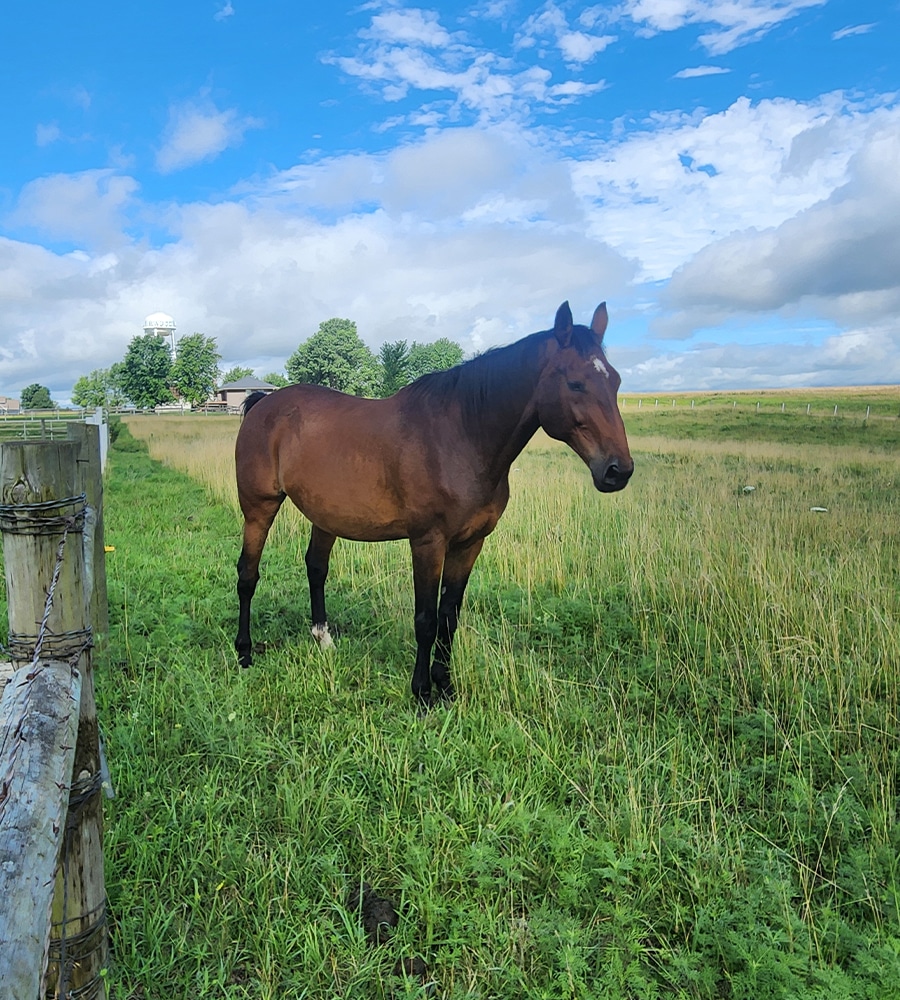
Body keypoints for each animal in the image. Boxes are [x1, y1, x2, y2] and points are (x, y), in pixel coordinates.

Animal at [234, 300, 633, 705]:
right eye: (575, 382)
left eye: (615, 381)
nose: (618, 470)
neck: (461, 437)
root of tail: (263, 403)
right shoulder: (428, 542)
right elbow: (425, 619)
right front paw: (423, 692)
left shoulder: (470, 544)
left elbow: (449, 616)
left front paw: (446, 684)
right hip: (259, 509)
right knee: (247, 575)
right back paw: (245, 652)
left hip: (325, 516)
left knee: (316, 568)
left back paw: (323, 639)